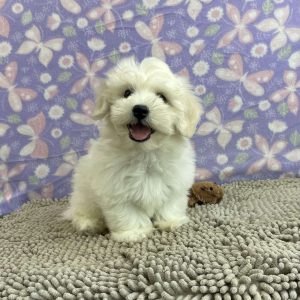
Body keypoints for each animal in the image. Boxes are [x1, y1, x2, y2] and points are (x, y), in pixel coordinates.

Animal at [64, 57, 203, 243]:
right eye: (127, 93)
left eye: (162, 97)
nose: (140, 109)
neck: (145, 152)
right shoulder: (115, 189)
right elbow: (128, 213)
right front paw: (134, 232)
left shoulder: (175, 183)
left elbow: (170, 203)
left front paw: (171, 222)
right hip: (82, 194)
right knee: (80, 211)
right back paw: (90, 224)